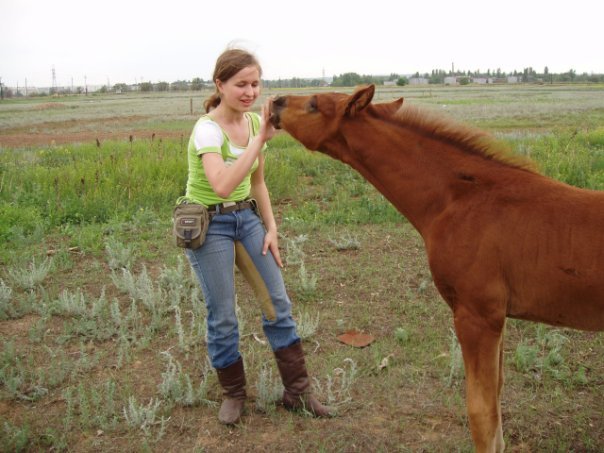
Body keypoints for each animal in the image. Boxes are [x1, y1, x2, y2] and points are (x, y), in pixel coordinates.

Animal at [270, 85, 604, 452]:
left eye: (314, 105)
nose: (274, 103)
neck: (458, 201)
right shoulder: (497, 319)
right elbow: (497, 401)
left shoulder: (477, 316)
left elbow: (481, 413)